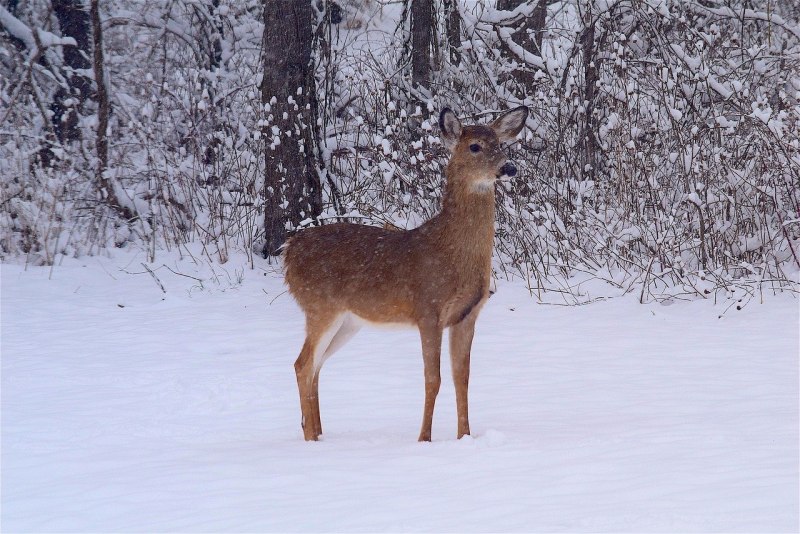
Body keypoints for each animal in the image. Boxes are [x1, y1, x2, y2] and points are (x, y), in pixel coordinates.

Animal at [283, 105, 529, 441]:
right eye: (475, 146)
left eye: (501, 144)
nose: (509, 167)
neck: (451, 252)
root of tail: (288, 251)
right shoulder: (428, 309)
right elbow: (433, 379)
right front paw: (424, 438)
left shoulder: (467, 315)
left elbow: (462, 378)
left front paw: (465, 437)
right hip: (320, 306)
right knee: (302, 364)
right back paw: (310, 439)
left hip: (347, 321)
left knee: (317, 365)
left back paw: (318, 433)